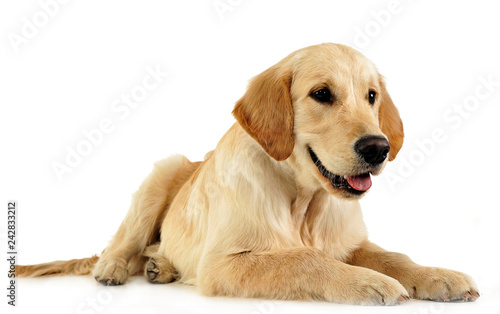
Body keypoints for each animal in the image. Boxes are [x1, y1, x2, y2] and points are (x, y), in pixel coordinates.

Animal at [15, 43, 478, 306]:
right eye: (322, 94)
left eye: (371, 96)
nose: (377, 147)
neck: (303, 200)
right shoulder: (224, 263)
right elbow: (304, 260)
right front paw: (368, 282)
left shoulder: (349, 242)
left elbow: (392, 256)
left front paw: (437, 276)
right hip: (164, 170)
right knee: (122, 242)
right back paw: (113, 267)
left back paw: (160, 266)